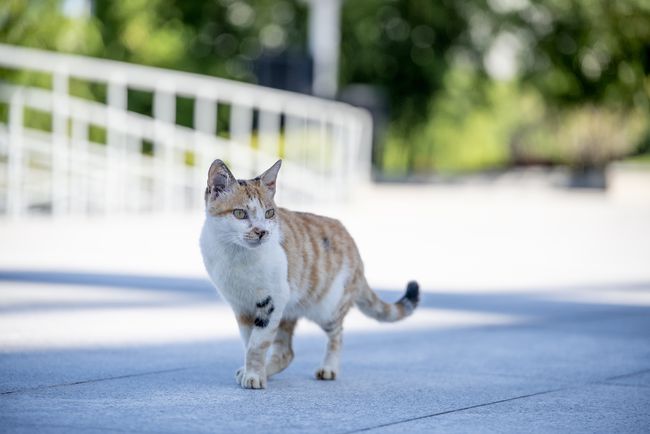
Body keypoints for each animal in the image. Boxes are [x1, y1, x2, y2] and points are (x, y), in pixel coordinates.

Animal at [199, 159, 420, 390]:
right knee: (286, 352)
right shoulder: (242, 307)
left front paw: (254, 376)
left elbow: (257, 344)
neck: (237, 256)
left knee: (337, 335)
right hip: (288, 311)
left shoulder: (272, 301)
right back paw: (268, 369)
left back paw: (329, 369)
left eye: (269, 213)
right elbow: (249, 341)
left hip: (328, 308)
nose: (262, 232)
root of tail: (353, 244)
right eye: (240, 213)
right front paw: (253, 371)